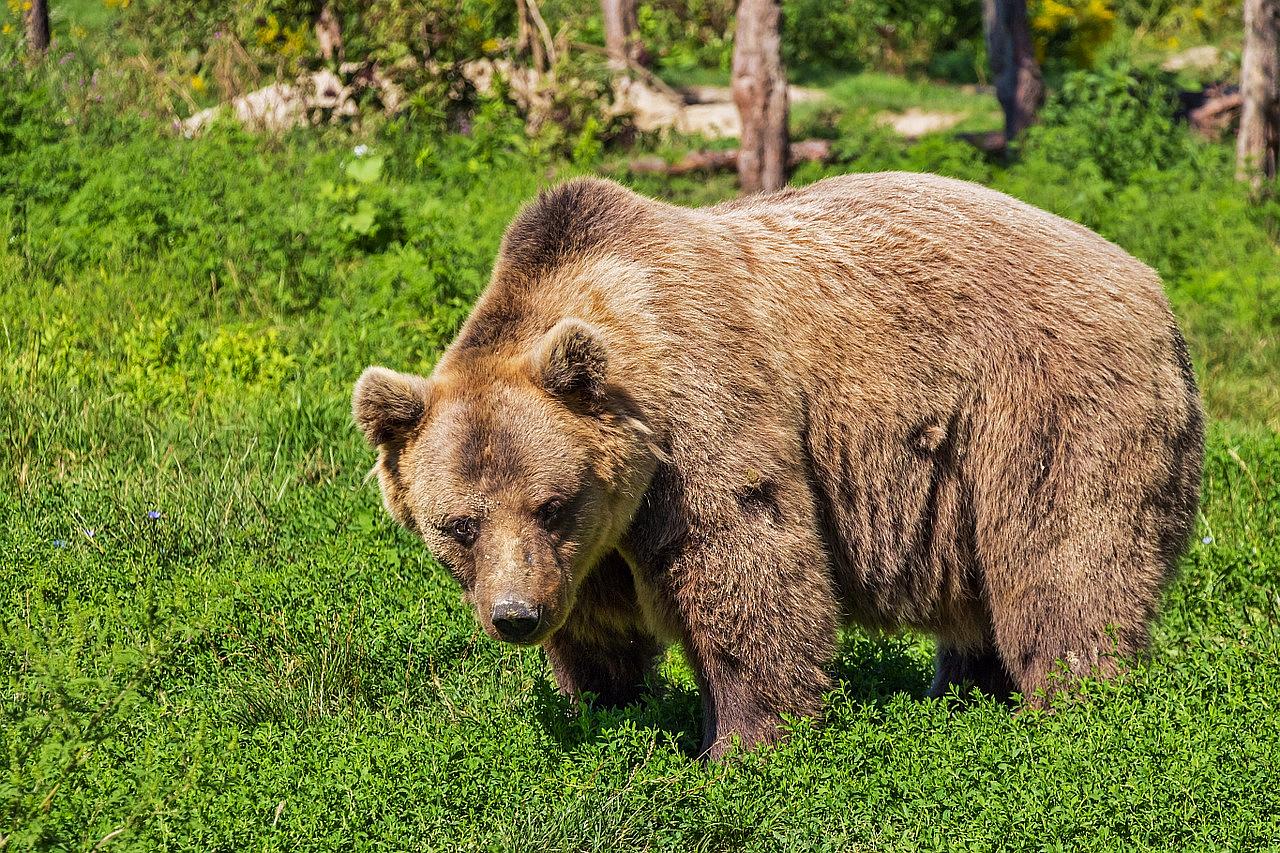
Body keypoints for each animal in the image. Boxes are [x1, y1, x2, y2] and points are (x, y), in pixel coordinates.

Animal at [355, 172, 1203, 758]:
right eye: (459, 524)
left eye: (550, 503)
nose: (515, 616)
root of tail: (1152, 284)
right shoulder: (592, 544)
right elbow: (598, 627)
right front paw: (606, 706)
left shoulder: (701, 421)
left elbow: (747, 569)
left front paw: (738, 745)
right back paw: (961, 692)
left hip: (1044, 403)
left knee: (1064, 558)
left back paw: (1072, 704)